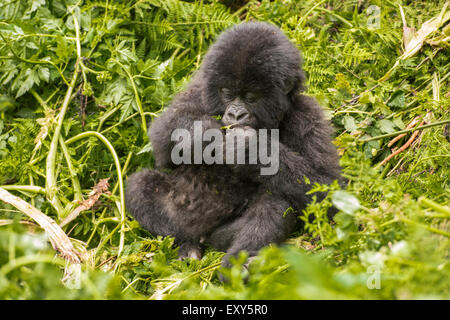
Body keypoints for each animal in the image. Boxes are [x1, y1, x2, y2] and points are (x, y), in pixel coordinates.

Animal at [125, 21, 342, 262]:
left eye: (250, 97)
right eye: (227, 93)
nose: (235, 114)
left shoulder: (306, 116)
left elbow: (329, 188)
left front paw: (250, 149)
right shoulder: (199, 89)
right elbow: (163, 135)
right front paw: (204, 134)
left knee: (274, 203)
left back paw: (237, 261)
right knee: (140, 186)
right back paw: (186, 243)